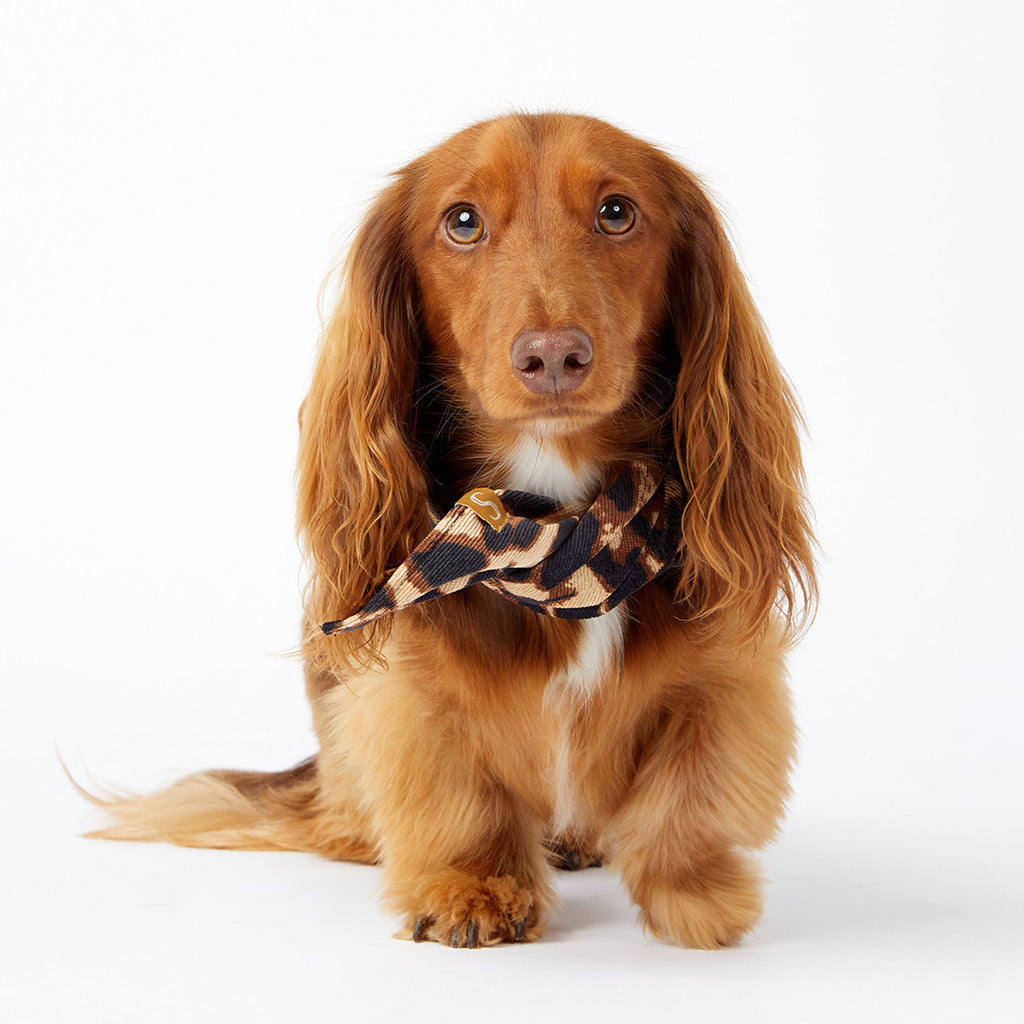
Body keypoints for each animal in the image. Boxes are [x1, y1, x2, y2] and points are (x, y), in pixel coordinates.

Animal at [92, 108, 819, 946]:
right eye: (463, 222)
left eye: (617, 212)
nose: (554, 356)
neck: (563, 537)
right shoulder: (410, 692)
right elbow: (458, 794)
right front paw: (474, 888)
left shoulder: (725, 681)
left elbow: (690, 790)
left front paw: (693, 893)